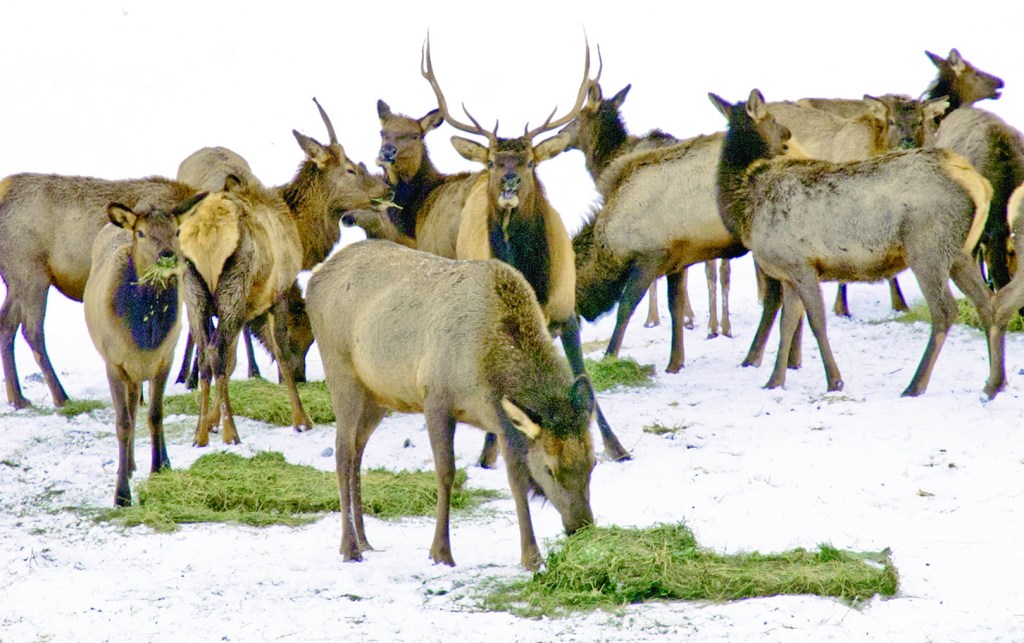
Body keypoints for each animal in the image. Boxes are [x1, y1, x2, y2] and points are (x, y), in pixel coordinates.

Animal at [0, 174, 196, 410]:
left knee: (6, 323)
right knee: (32, 331)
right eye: (141, 233)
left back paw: (17, 398)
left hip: (16, 280)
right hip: (31, 274)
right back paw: (60, 397)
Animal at [83, 194, 204, 506]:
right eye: (141, 233)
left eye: (176, 231)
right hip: (125, 368)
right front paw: (122, 494)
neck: (145, 337)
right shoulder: (113, 362)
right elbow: (122, 423)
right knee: (129, 411)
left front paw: (160, 466)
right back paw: (128, 465)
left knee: (140, 407)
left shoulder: (165, 358)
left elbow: (156, 415)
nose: (167, 255)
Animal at [306, 240, 595, 571]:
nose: (582, 525)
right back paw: (350, 547)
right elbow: (446, 473)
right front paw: (441, 552)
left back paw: (365, 540)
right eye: (549, 469)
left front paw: (532, 557)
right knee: (342, 454)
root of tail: (313, 280)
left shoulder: (501, 421)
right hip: (342, 374)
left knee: (357, 451)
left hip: (377, 395)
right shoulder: (435, 398)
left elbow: (517, 481)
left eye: (593, 463)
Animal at [418, 37, 629, 466]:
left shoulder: (567, 310)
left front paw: (616, 447)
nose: (510, 182)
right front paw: (491, 452)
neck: (532, 280)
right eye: (493, 160)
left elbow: (583, 378)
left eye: (531, 161)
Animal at [710, 88, 1006, 399]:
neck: (745, 203)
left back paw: (915, 385)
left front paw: (834, 380)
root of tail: (979, 184)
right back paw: (993, 384)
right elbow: (787, 324)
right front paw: (774, 381)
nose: (789, 135)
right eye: (776, 121)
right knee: (988, 304)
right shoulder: (788, 272)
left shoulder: (801, 264)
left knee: (945, 311)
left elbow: (817, 321)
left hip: (927, 248)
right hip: (959, 254)